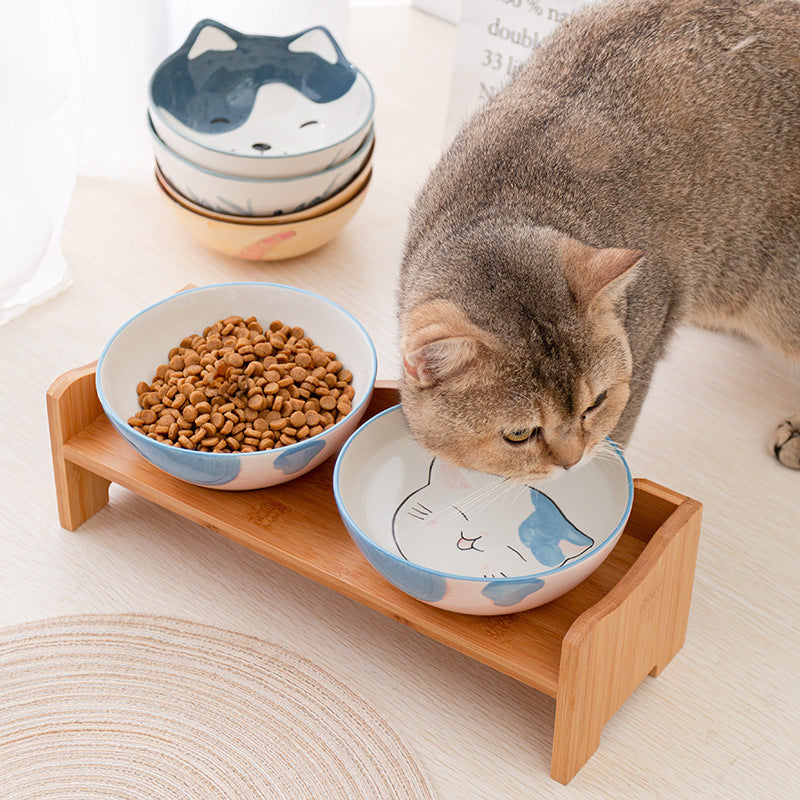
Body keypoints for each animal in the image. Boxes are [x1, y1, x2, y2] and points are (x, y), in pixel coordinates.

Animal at [398, 0, 800, 482]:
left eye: (598, 403)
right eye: (518, 434)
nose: (571, 462)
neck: (507, 195)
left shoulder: (643, 348)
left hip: (783, 298)